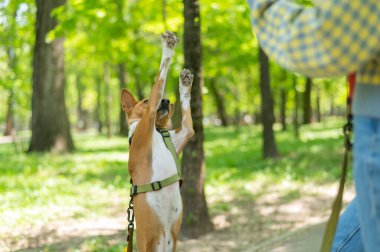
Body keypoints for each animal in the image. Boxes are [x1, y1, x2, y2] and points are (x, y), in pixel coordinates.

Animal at [120, 32, 194, 252]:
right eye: (144, 101)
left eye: (170, 104)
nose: (167, 101)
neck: (158, 130)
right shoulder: (150, 113)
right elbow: (162, 72)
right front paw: (168, 47)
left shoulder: (186, 131)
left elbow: (187, 108)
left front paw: (185, 85)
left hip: (173, 244)